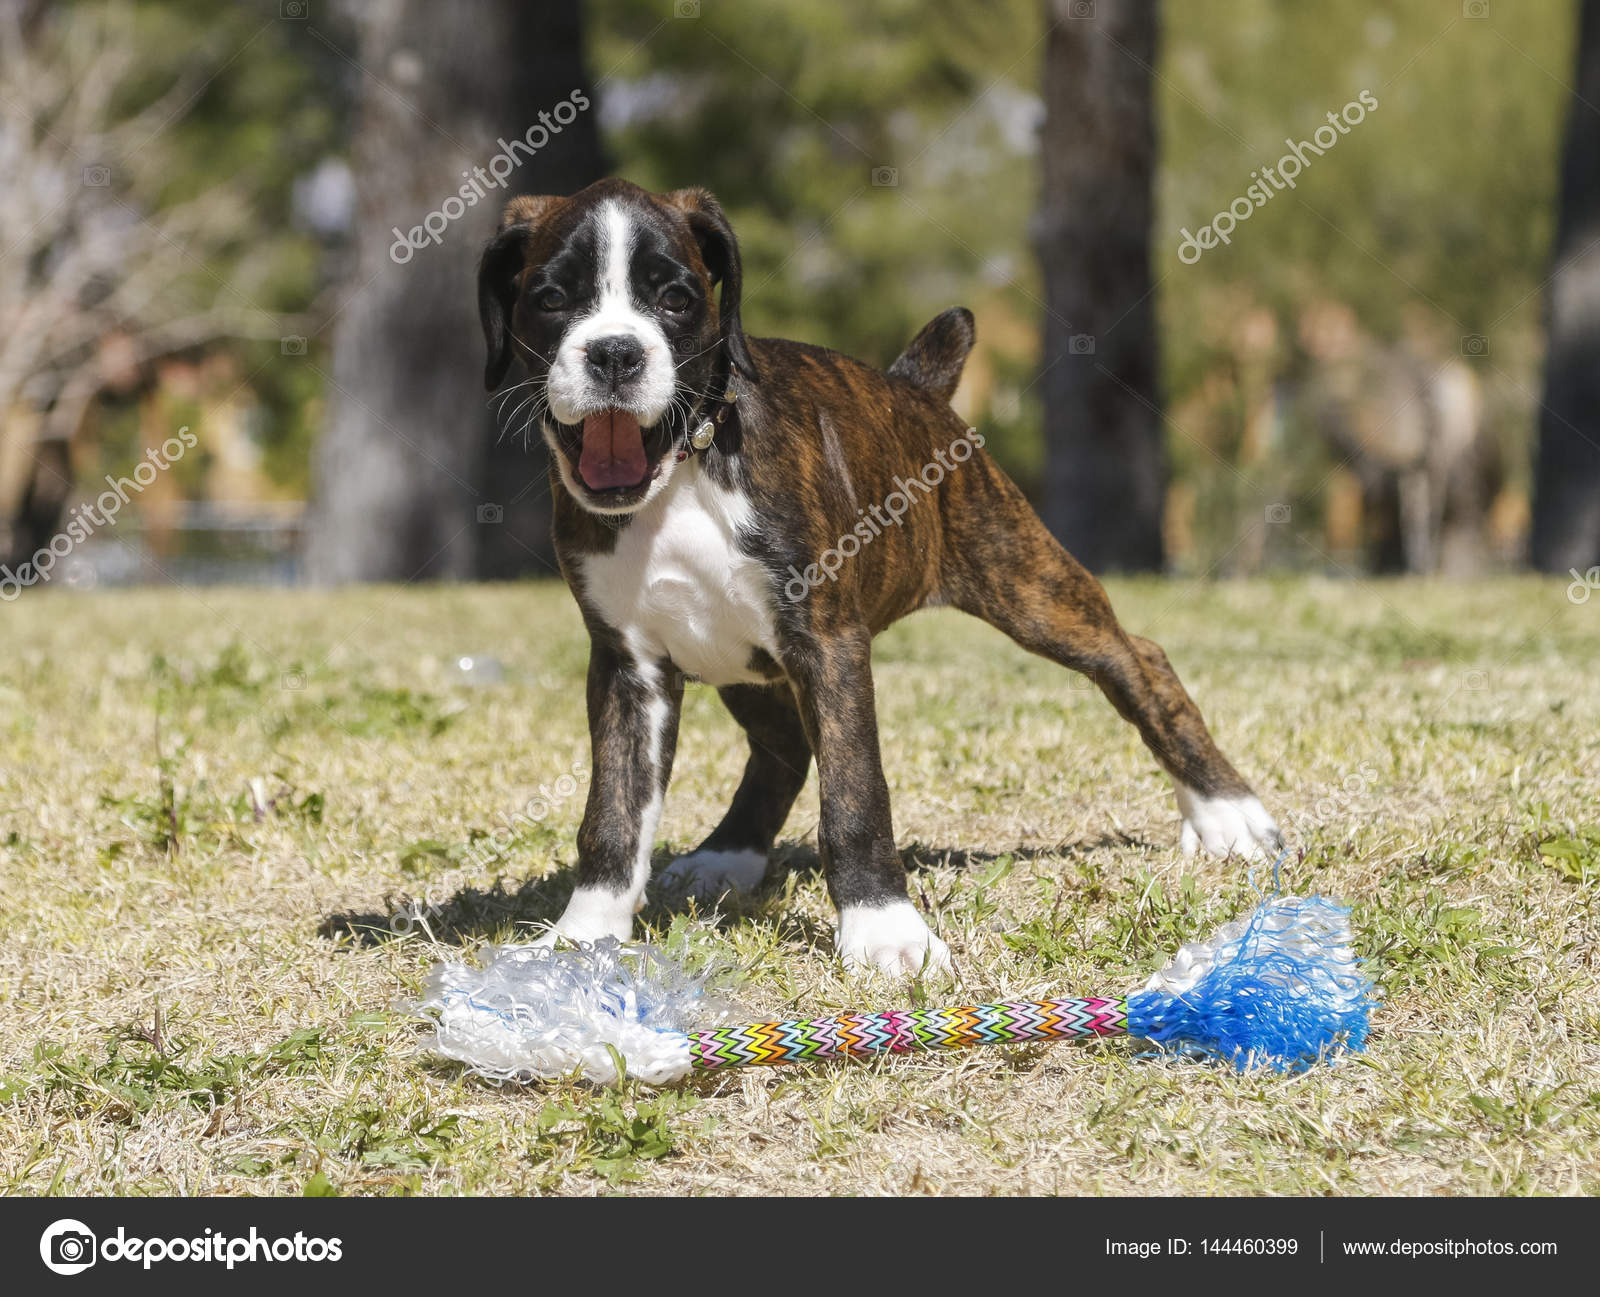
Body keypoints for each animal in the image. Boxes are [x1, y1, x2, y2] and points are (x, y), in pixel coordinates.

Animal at [470, 179, 1273, 972]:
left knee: (1139, 660)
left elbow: (854, 794)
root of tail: (912, 390)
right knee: (785, 750)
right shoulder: (628, 667)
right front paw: (583, 936)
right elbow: (612, 809)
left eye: (674, 298)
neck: (686, 470)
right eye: (551, 298)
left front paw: (884, 929)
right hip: (739, 661)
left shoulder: (827, 644)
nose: (614, 352)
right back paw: (726, 857)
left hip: (1029, 586)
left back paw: (1227, 812)